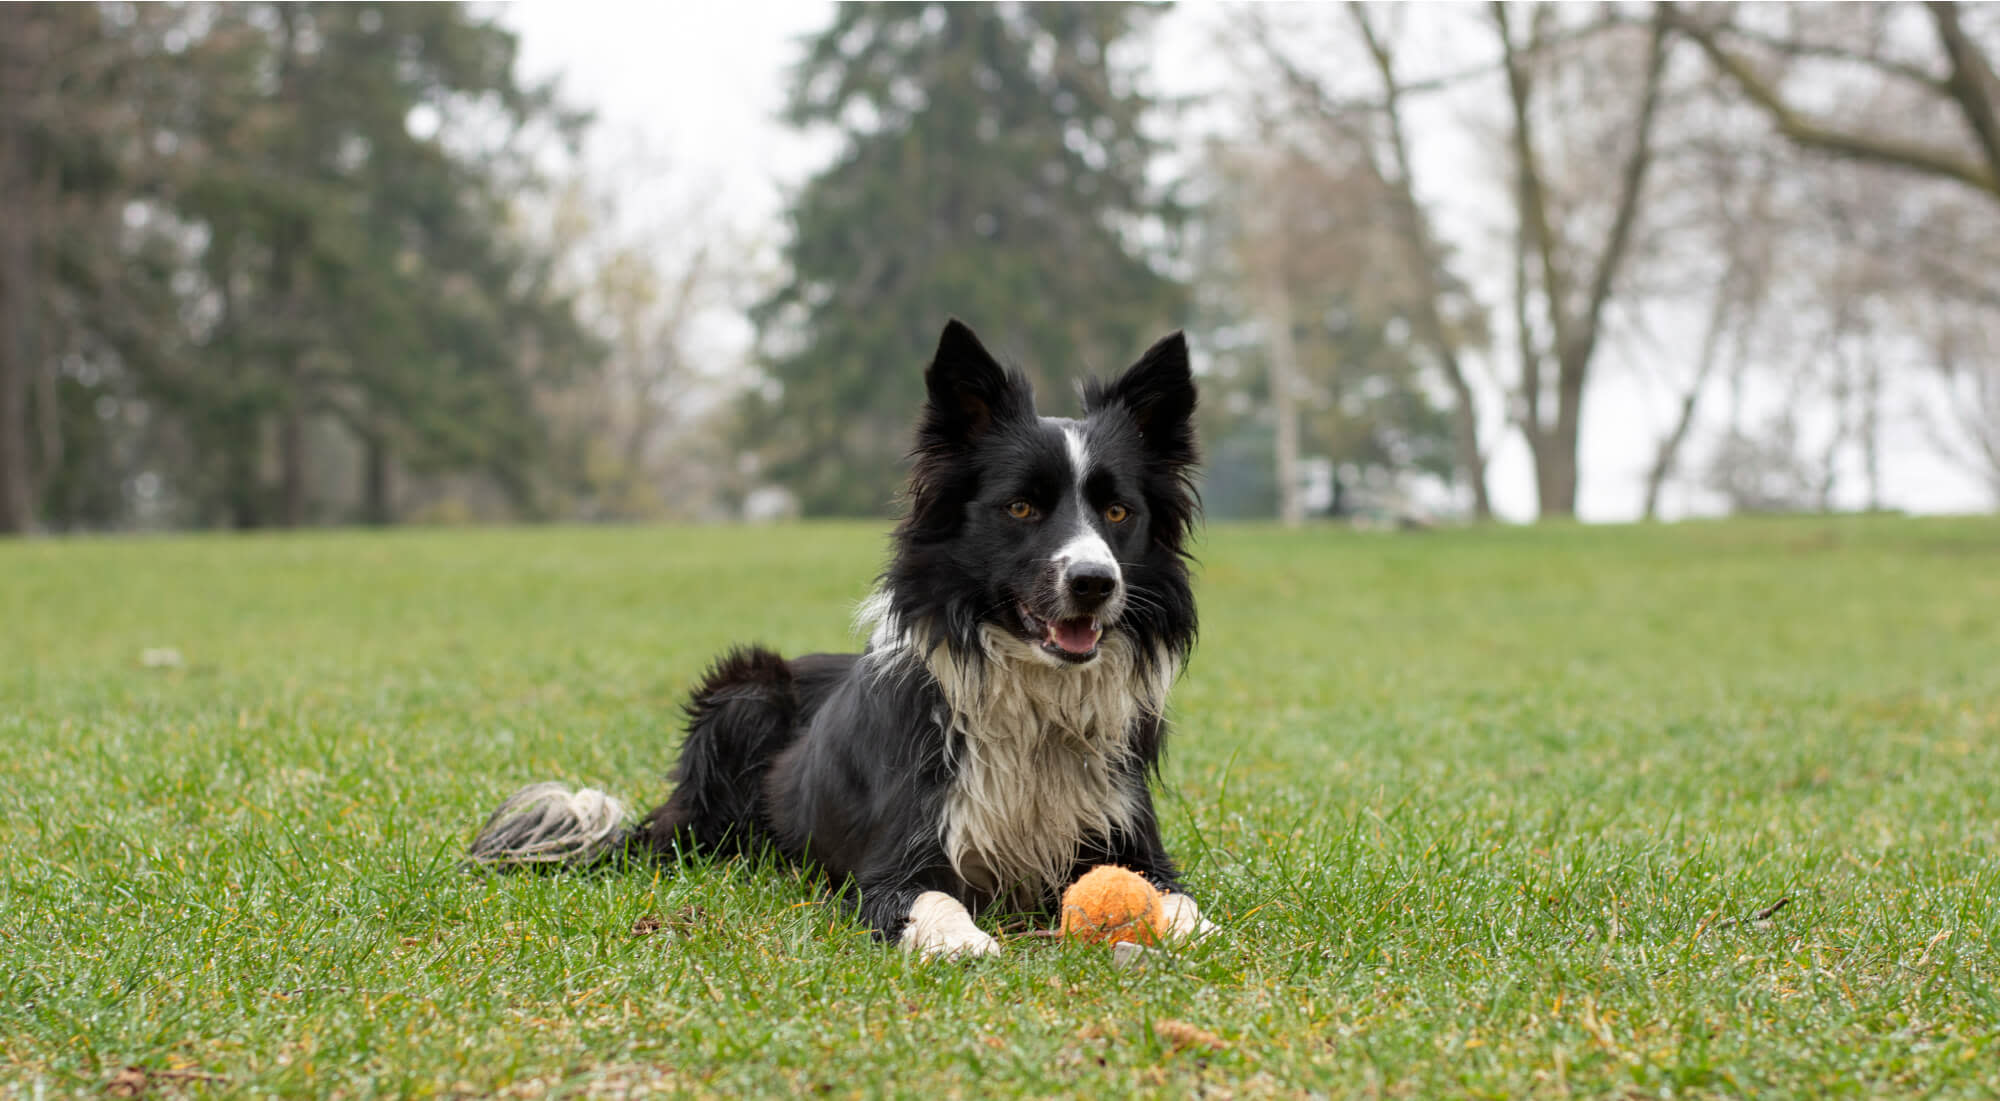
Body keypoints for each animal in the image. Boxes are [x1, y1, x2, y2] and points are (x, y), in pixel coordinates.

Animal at [468, 320, 1208, 956]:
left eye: (1118, 511)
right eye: (1021, 507)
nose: (1094, 581)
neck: (1033, 701)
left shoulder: (1132, 841)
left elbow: (1181, 902)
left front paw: (1190, 930)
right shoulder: (893, 863)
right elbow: (933, 899)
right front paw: (963, 942)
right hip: (746, 690)